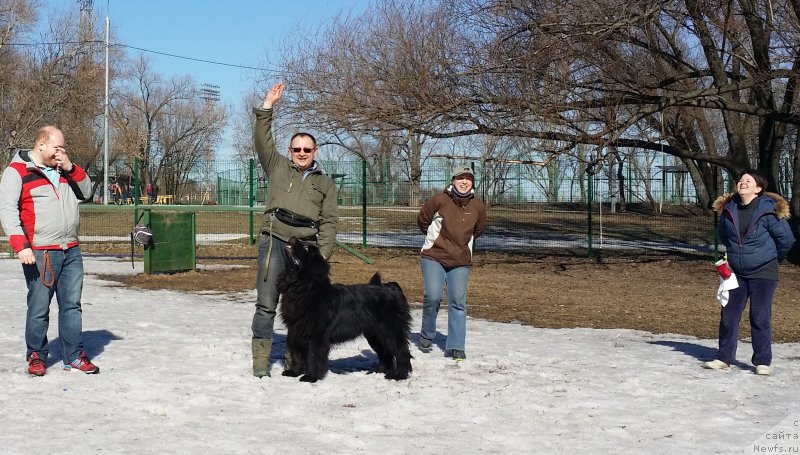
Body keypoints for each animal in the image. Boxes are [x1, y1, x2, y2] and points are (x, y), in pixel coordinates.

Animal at [276, 237, 412, 382]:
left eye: (306, 248)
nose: (293, 238)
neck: (303, 288)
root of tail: (393, 287)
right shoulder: (296, 331)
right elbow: (296, 355)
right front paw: (293, 372)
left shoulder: (316, 335)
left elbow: (313, 357)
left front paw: (310, 377)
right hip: (374, 334)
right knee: (385, 354)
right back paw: (378, 372)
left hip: (390, 331)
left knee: (402, 352)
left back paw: (399, 375)